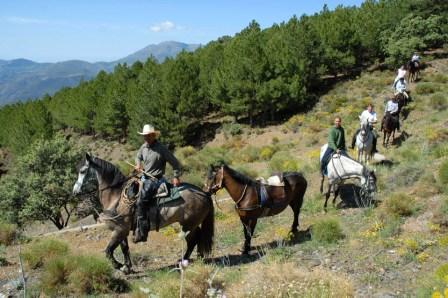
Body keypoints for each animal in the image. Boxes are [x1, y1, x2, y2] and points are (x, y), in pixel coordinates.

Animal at [72, 155, 214, 274]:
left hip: (188, 225)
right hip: (190, 224)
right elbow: (124, 248)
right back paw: (198, 257)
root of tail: (204, 193)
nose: (75, 192)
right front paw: (127, 267)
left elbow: (108, 251)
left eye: (83, 171)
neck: (115, 196)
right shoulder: (122, 231)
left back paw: (182, 262)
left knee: (192, 241)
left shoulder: (119, 230)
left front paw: (119, 266)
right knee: (197, 238)